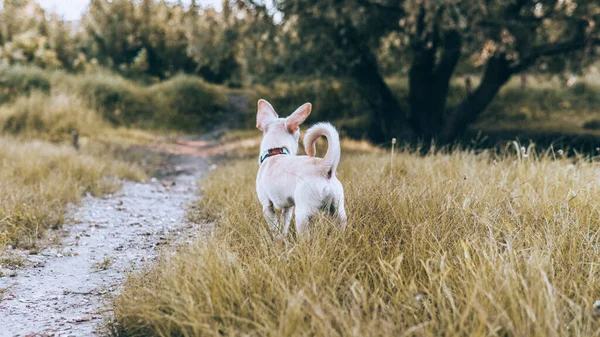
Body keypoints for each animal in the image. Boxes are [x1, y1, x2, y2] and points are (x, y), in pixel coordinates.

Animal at [254, 98, 346, 235]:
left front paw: (275, 238)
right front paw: (282, 237)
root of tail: (323, 166)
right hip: (338, 210)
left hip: (302, 214)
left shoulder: (267, 206)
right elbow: (284, 225)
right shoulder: (288, 207)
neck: (275, 151)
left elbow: (274, 227)